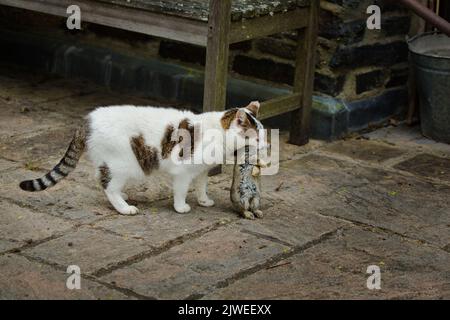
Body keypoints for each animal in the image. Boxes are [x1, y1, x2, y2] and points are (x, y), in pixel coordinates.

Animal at [18, 100, 264, 215]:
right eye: (256, 137)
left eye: (263, 134)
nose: (266, 144)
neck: (218, 133)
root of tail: (88, 120)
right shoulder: (183, 172)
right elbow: (181, 191)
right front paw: (181, 207)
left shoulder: (202, 170)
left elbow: (202, 186)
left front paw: (204, 200)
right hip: (125, 164)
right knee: (108, 186)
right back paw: (124, 207)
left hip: (110, 162)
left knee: (101, 178)